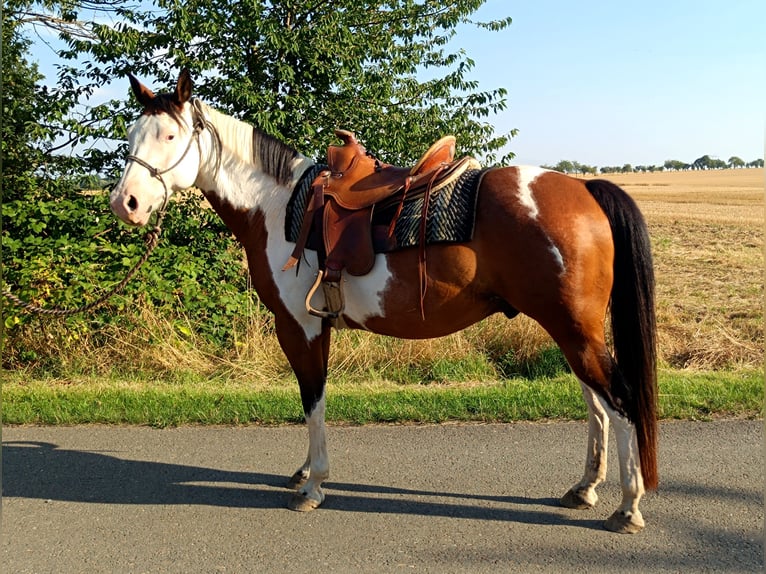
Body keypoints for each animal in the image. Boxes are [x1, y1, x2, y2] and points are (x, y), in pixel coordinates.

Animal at [110, 70, 658, 534]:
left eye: (170, 136)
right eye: (134, 135)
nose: (125, 203)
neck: (279, 206)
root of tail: (584, 187)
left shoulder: (299, 327)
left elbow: (312, 399)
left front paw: (314, 485)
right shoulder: (317, 326)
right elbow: (313, 399)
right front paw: (306, 471)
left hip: (574, 330)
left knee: (621, 402)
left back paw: (628, 507)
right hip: (568, 330)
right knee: (597, 405)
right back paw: (584, 489)